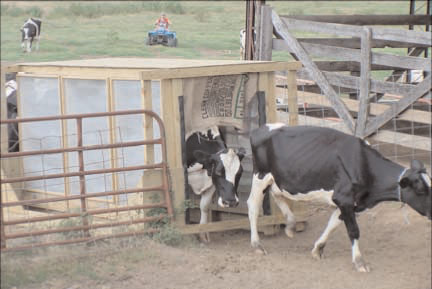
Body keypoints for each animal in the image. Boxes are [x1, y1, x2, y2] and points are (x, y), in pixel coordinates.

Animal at [248, 125, 430, 272]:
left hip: (276, 179)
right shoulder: (344, 198)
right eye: (420, 190)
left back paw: (291, 225)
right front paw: (359, 262)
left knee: (276, 193)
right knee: (253, 206)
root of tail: (260, 129)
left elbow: (332, 224)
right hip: (260, 176)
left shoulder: (349, 203)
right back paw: (257, 245)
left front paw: (318, 249)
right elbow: (353, 231)